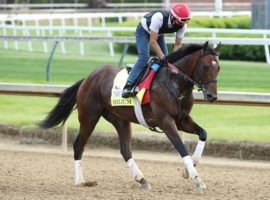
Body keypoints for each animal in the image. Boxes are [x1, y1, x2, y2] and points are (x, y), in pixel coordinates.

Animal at [39, 41, 221, 190]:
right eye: (206, 66)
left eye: (218, 67)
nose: (212, 96)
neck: (174, 83)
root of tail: (88, 78)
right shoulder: (166, 122)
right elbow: (181, 147)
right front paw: (196, 178)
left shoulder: (182, 120)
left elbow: (203, 133)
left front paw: (190, 168)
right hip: (89, 117)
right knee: (78, 146)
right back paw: (80, 181)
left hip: (120, 120)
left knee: (125, 150)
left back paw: (142, 179)